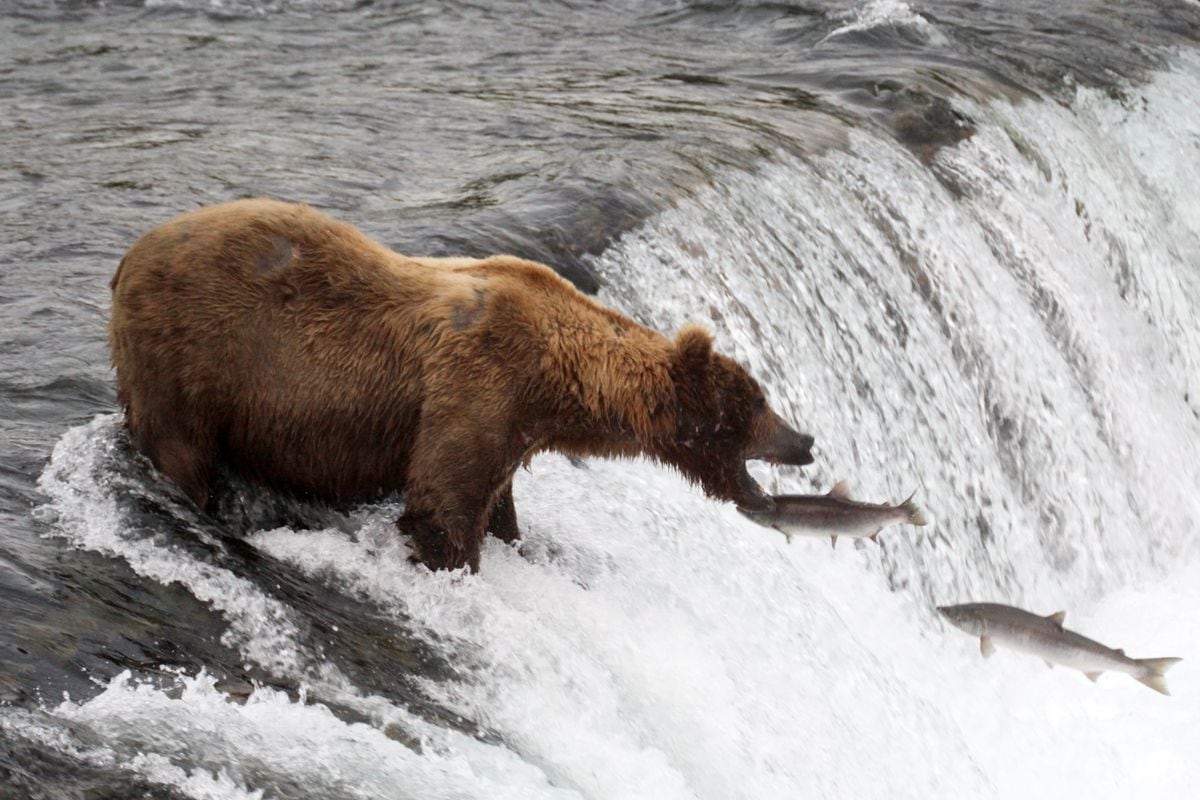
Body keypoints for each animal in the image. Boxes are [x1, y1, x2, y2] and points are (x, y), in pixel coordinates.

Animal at [110, 200, 816, 575]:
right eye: (755, 404)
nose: (806, 439)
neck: (558, 383)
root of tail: (126, 260)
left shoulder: (513, 428)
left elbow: (495, 501)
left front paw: (511, 541)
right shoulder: (478, 384)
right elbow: (441, 504)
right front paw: (456, 566)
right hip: (193, 357)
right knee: (180, 450)